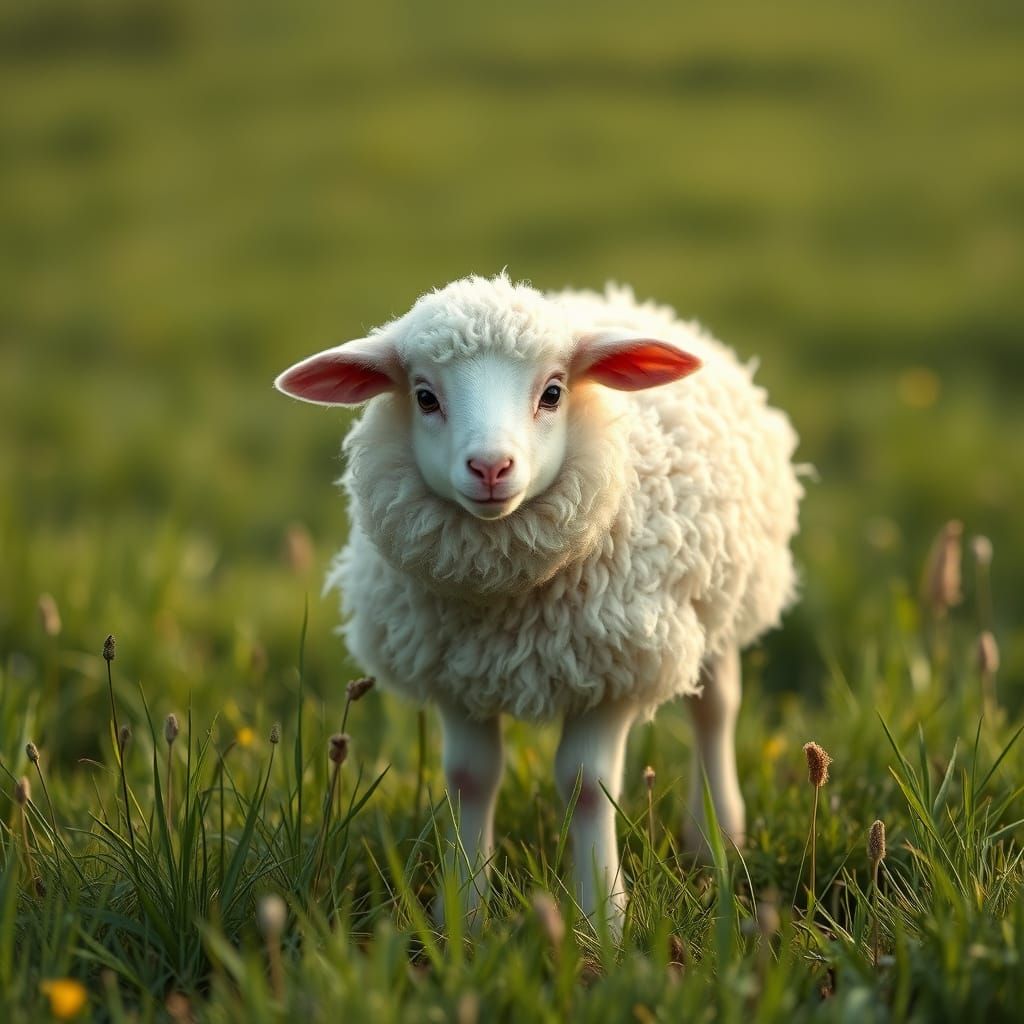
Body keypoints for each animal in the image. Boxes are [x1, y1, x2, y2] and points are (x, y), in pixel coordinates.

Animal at [275, 272, 803, 930]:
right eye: (424, 397)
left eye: (552, 393)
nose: (490, 467)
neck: (506, 600)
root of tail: (616, 298)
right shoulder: (458, 675)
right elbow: (470, 778)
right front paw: (463, 915)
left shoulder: (612, 667)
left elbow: (586, 784)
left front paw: (604, 919)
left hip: (722, 607)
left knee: (715, 712)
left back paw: (717, 838)